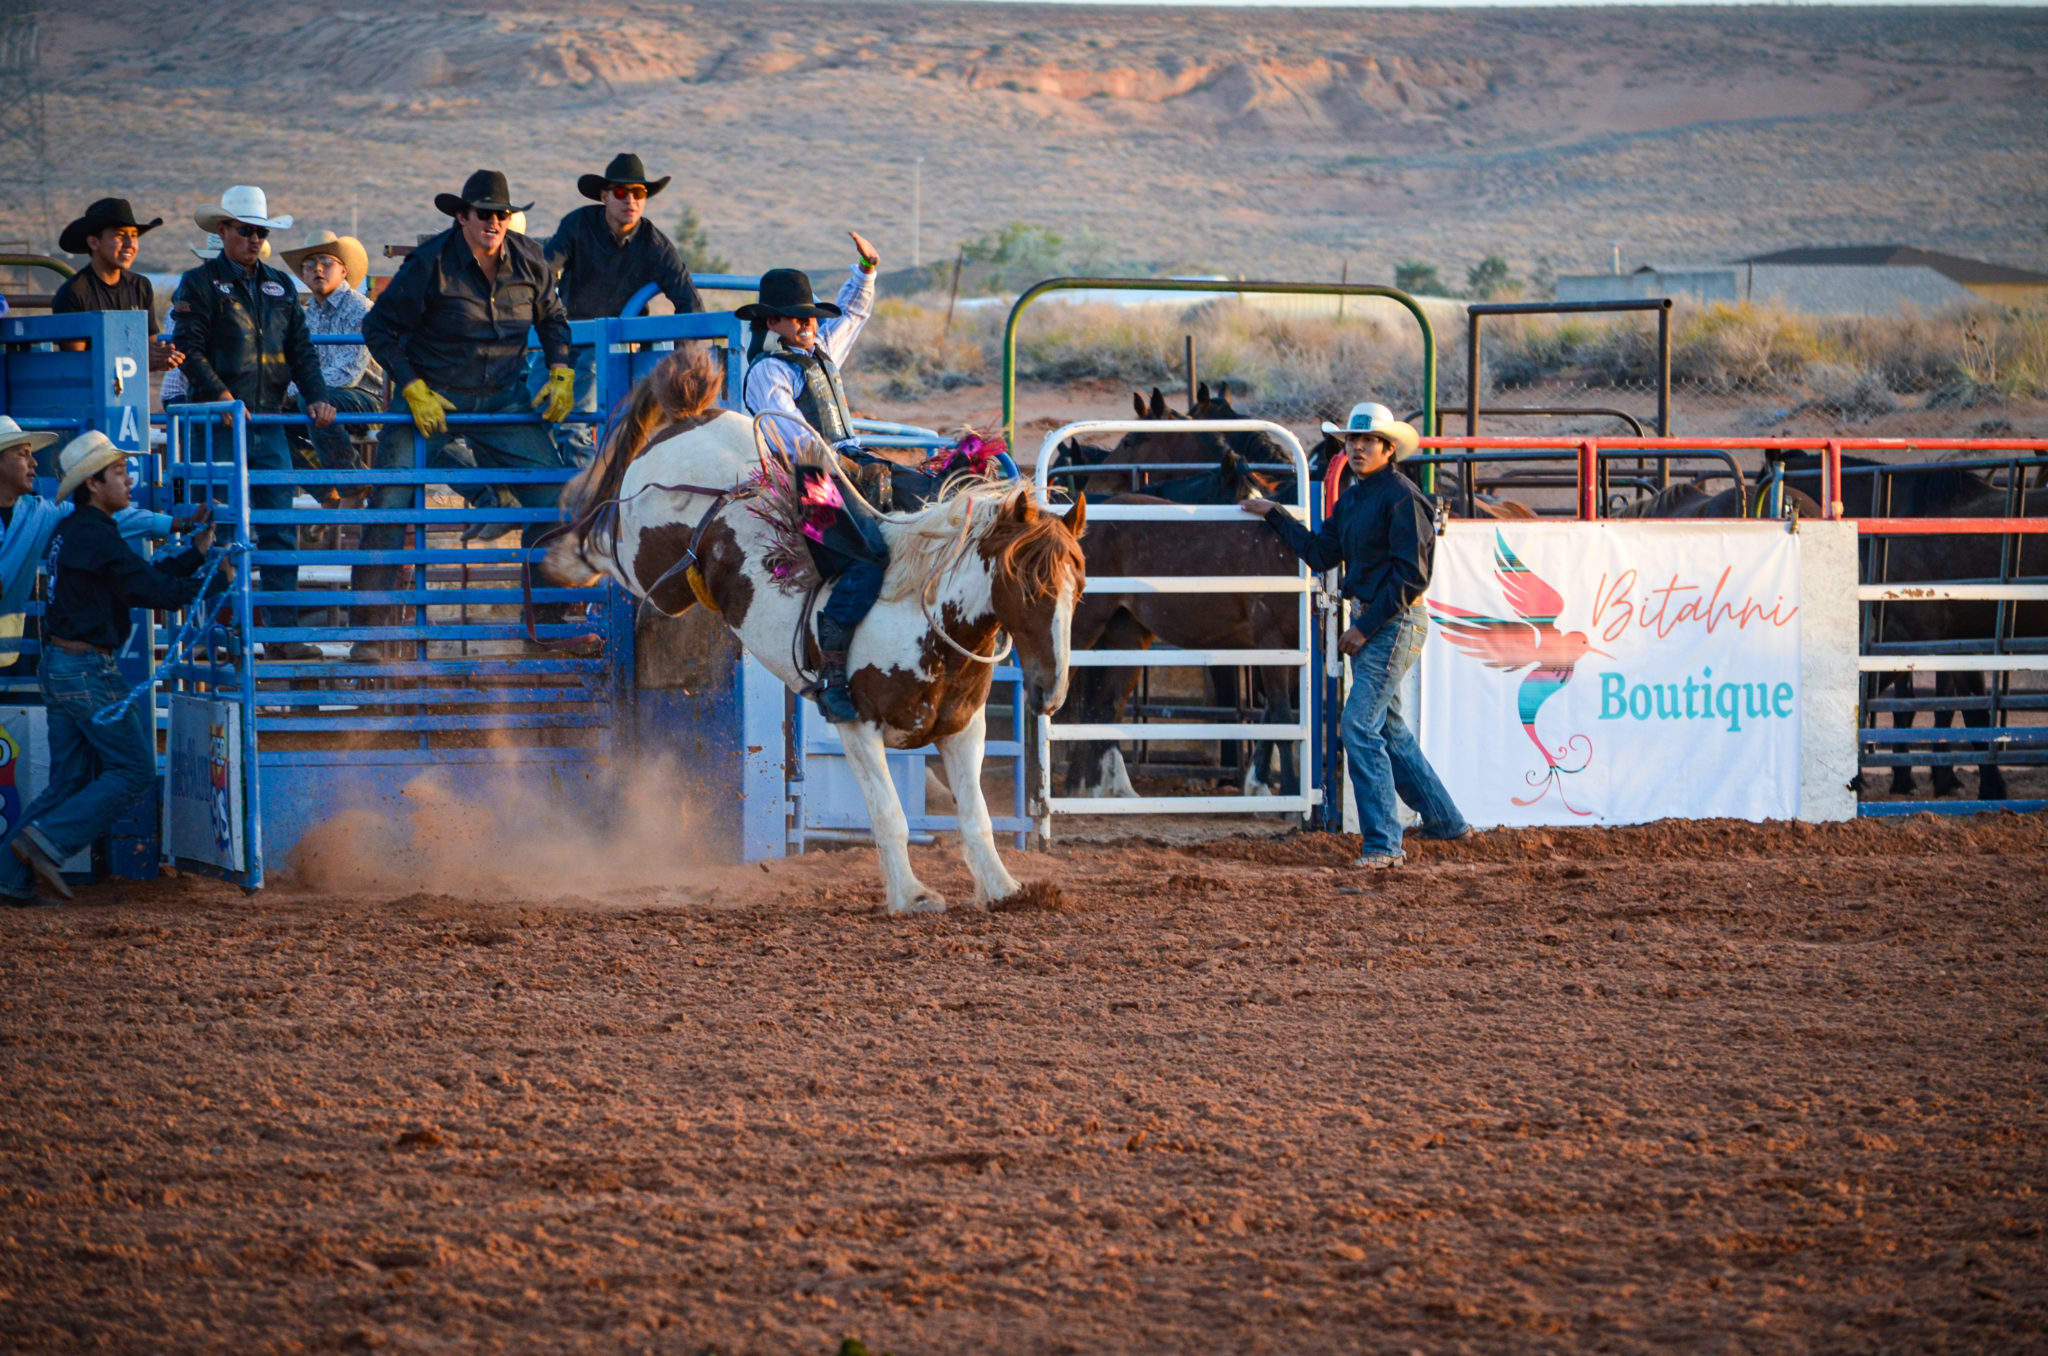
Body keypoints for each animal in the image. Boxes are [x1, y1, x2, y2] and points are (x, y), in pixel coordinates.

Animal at [544, 352, 1089, 925]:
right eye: (1026, 587)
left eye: (1079, 588)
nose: (1050, 692)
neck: (925, 621)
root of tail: (693, 415)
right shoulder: (857, 724)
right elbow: (890, 815)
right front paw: (912, 896)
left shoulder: (963, 729)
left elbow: (977, 818)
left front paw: (1005, 888)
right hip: (648, 562)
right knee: (599, 541)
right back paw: (557, 563)